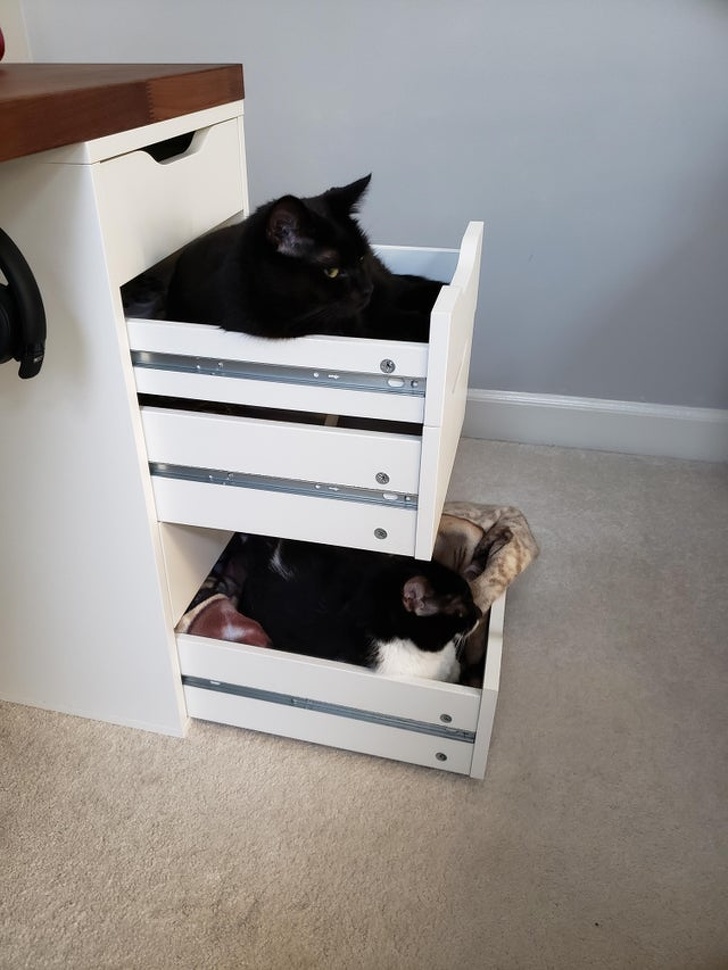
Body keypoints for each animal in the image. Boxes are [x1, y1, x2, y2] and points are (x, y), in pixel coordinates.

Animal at [165, 174, 443, 342]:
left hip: (386, 284)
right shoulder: (358, 325)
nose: (367, 289)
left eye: (361, 259)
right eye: (332, 271)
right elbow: (401, 322)